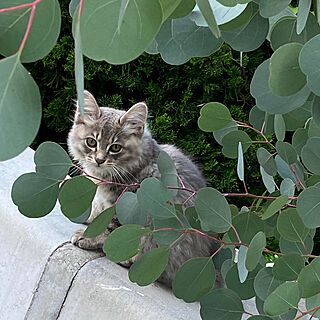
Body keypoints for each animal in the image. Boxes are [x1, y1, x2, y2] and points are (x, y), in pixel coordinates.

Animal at [68, 90, 222, 288]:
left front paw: (89, 238)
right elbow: (96, 211)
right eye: (91, 142)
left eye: (115, 147)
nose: (100, 160)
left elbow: (110, 230)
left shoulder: (125, 205)